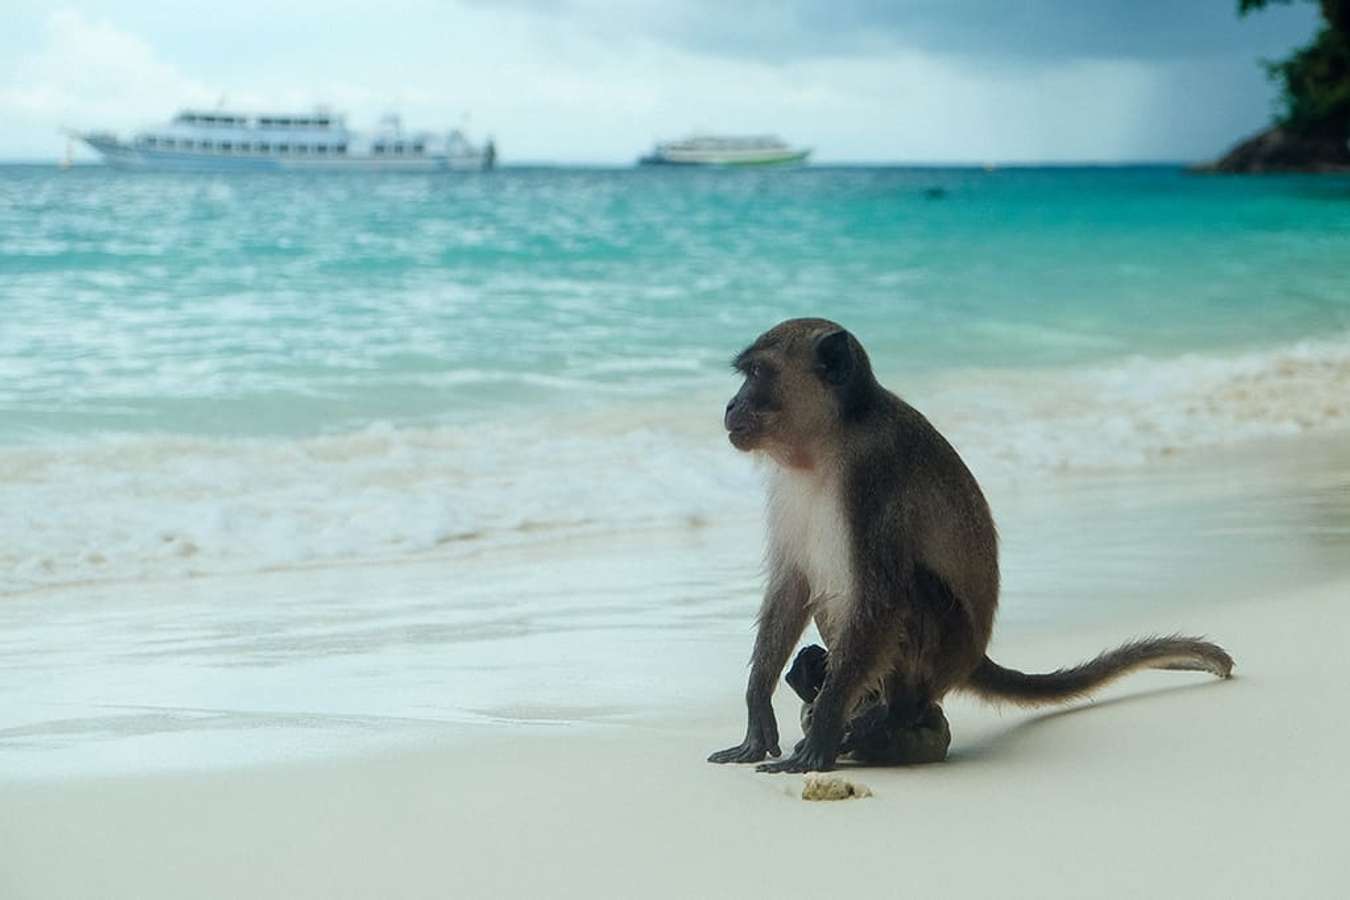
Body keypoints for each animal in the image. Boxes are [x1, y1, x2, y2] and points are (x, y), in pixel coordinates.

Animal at [707, 318, 1236, 777]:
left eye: (758, 374)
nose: (731, 406)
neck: (829, 441)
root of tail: (973, 656)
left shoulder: (874, 474)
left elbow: (880, 599)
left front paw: (823, 732)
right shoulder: (788, 486)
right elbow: (792, 586)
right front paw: (758, 708)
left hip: (948, 646)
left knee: (913, 588)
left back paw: (893, 714)